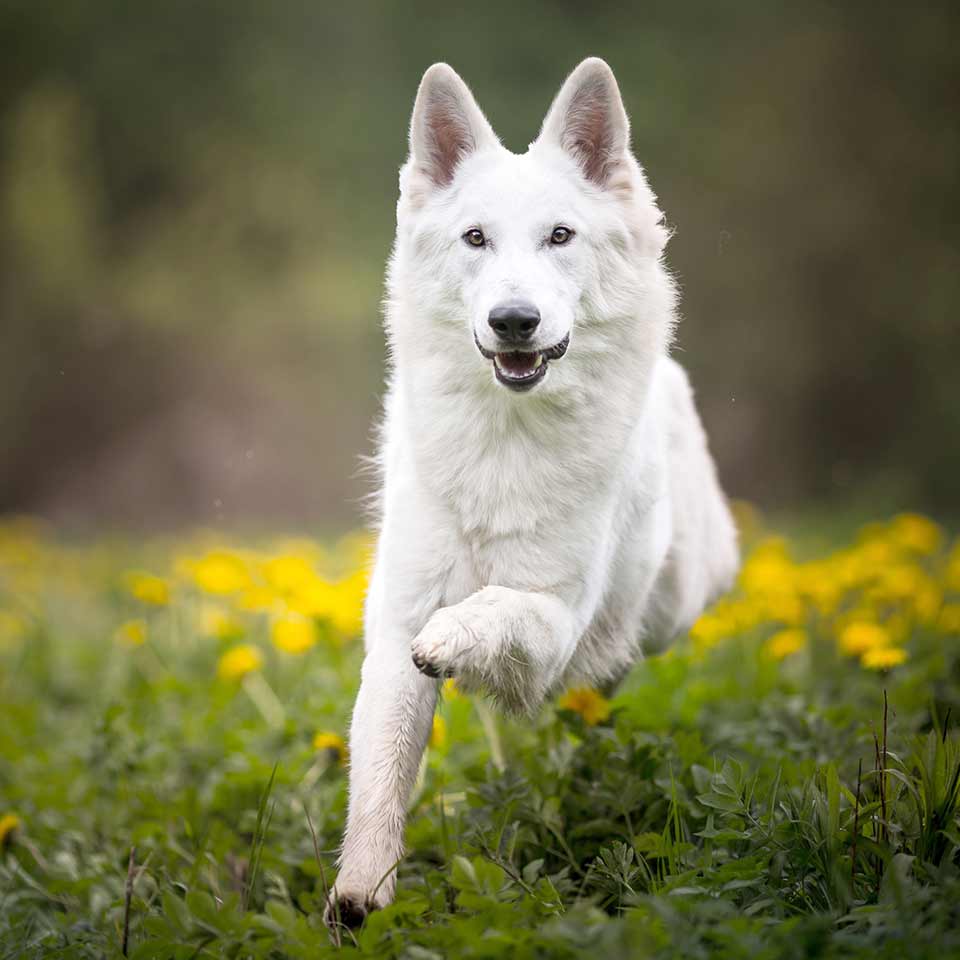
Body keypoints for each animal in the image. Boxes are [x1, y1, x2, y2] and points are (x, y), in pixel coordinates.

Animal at [326, 56, 740, 928]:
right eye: (475, 238)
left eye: (560, 236)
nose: (513, 320)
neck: (506, 441)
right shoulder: (393, 633)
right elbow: (380, 779)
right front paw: (360, 892)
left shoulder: (555, 619)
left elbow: (498, 608)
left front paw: (454, 636)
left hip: (671, 603)